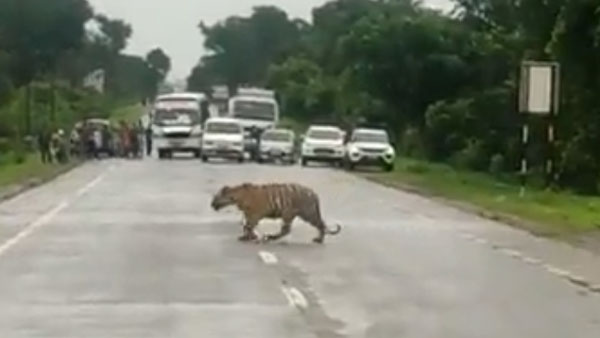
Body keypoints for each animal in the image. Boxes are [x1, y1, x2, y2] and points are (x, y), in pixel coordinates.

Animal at [211, 184, 342, 244]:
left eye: (215, 197)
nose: (211, 204)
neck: (236, 196)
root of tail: (314, 193)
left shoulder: (254, 214)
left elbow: (248, 226)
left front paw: (247, 237)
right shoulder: (249, 215)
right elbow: (247, 226)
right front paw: (251, 236)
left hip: (305, 213)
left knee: (320, 224)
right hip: (292, 214)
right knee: (287, 230)